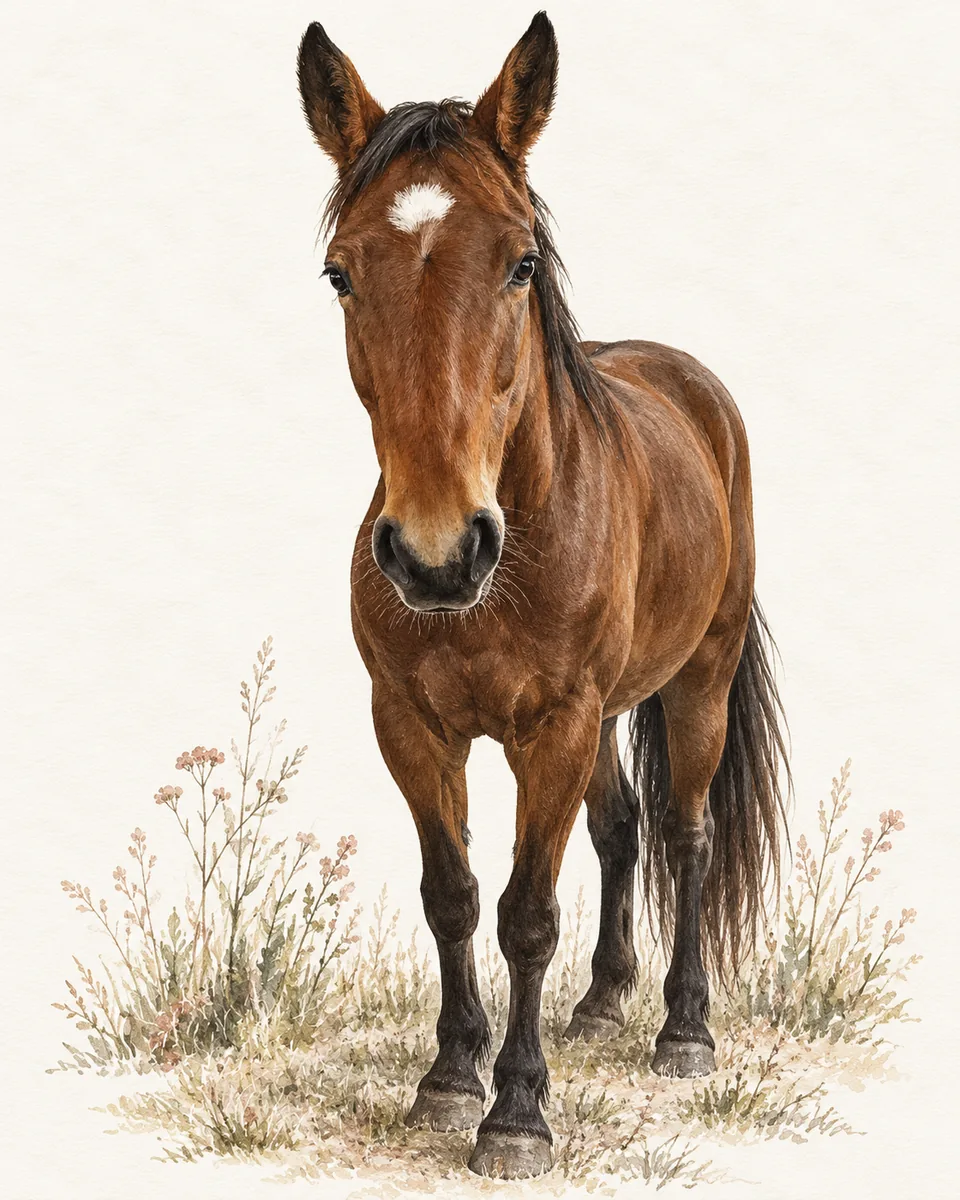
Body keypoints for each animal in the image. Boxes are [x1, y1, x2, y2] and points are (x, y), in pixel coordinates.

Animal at [297, 11, 788, 1179]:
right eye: (340, 274)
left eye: (520, 262)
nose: (437, 556)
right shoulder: (412, 726)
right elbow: (453, 897)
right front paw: (446, 1078)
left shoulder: (552, 728)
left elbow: (525, 912)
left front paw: (516, 1111)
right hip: (604, 715)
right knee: (618, 829)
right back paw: (604, 1005)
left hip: (695, 683)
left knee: (683, 833)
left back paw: (682, 1028)